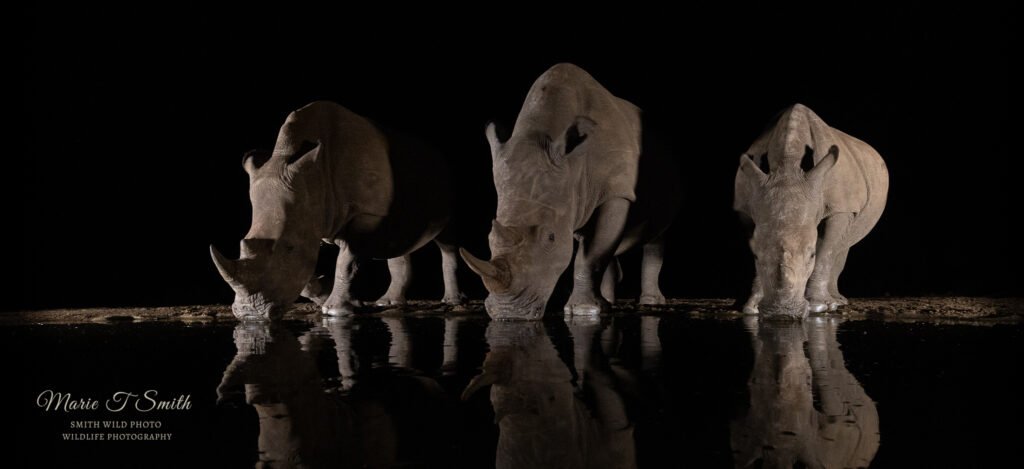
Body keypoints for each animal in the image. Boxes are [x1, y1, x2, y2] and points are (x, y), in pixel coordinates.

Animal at [210, 101, 465, 320]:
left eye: (289, 248)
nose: (249, 314)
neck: (313, 176)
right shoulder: (312, 217)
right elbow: (309, 269)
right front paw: (325, 298)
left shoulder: (363, 214)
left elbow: (346, 261)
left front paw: (335, 311)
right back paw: (387, 302)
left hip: (447, 187)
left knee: (447, 241)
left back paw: (453, 302)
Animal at [460, 63, 681, 320]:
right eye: (488, 238)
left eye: (551, 237)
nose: (509, 313)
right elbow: (597, 248)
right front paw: (591, 307)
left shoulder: (617, 191)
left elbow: (592, 254)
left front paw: (585, 311)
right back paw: (609, 301)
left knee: (656, 237)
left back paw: (649, 302)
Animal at [734, 104, 888, 319]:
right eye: (756, 256)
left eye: (811, 255)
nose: (782, 313)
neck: (787, 166)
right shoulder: (747, 206)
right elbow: (755, 244)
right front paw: (752, 307)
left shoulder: (841, 207)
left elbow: (826, 251)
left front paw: (818, 307)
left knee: (842, 245)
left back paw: (836, 302)